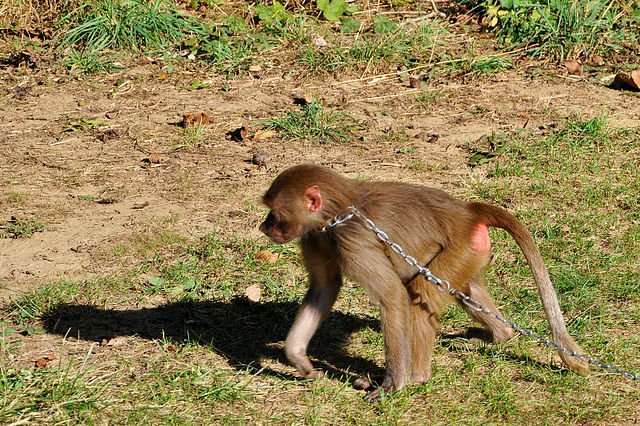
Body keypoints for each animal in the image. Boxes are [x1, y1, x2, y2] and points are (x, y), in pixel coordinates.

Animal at [258, 163, 592, 400]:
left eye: (275, 212)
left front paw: (393, 385)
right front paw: (298, 358)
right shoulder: (315, 237)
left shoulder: (353, 240)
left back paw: (417, 377)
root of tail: (466, 211)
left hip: (460, 249)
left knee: (420, 293)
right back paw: (502, 335)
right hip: (470, 253)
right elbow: (324, 289)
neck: (338, 211)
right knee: (463, 290)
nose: (263, 227)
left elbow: (393, 296)